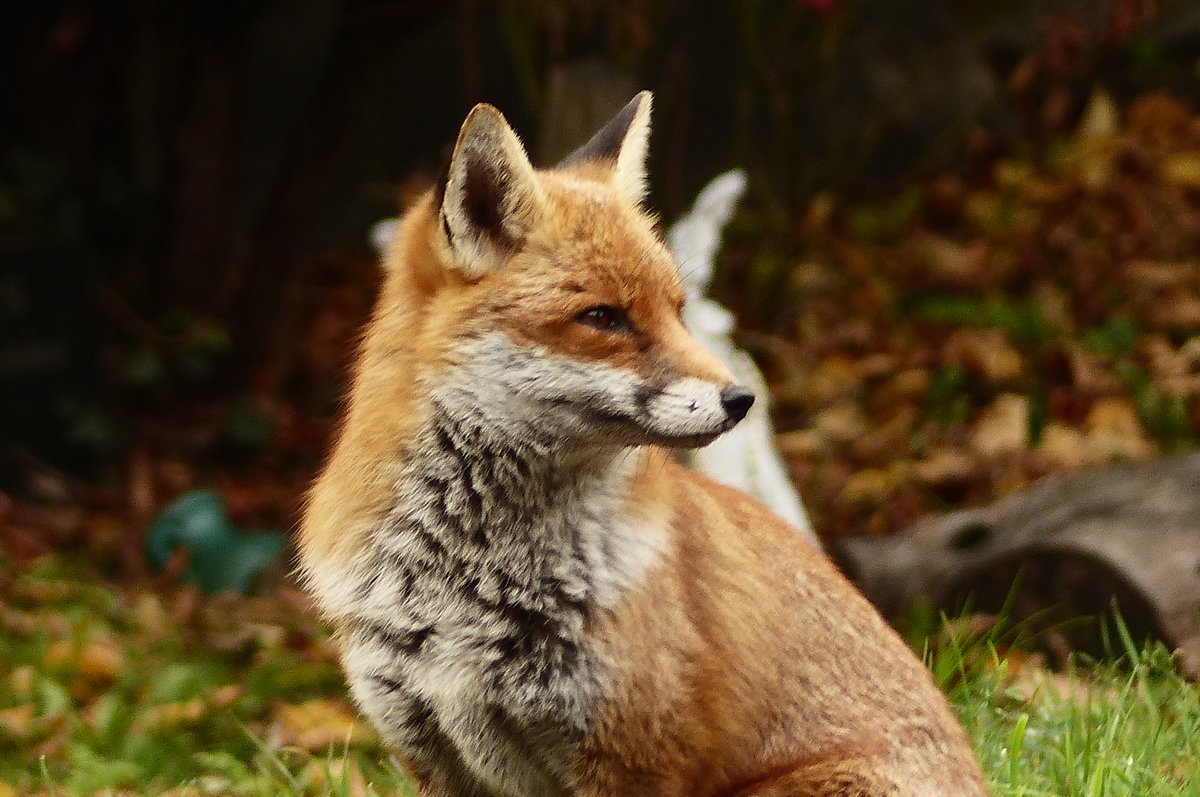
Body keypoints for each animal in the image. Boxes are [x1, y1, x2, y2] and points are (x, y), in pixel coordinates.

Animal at [298, 92, 990, 797]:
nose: (741, 399)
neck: (469, 583)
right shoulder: (431, 748)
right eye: (603, 317)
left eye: (676, 311)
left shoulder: (633, 756)